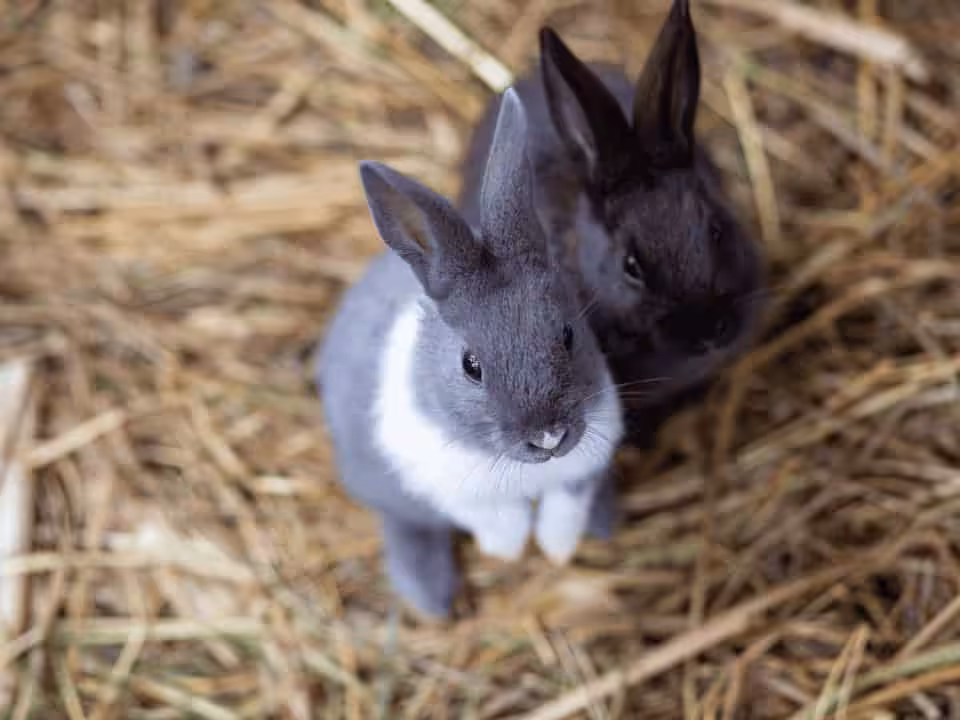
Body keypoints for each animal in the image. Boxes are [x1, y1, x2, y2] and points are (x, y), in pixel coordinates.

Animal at [315, 89, 624, 620]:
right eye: (471, 365)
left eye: (567, 334)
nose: (548, 436)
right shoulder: (445, 486)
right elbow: (494, 517)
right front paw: (510, 548)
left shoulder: (583, 465)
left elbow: (565, 506)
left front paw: (557, 548)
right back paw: (434, 600)